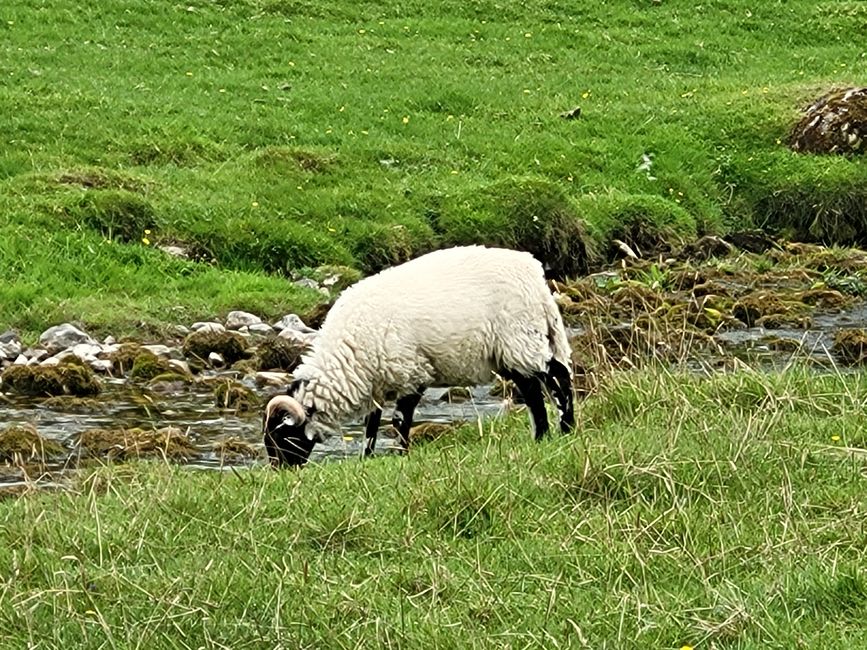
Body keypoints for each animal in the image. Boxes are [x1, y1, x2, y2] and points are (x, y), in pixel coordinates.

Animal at [264, 244, 576, 466]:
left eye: (281, 437)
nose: (281, 472)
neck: (349, 353)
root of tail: (537, 279)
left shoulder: (411, 372)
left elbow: (399, 420)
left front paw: (402, 454)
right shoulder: (379, 381)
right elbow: (371, 424)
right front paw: (367, 458)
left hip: (519, 338)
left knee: (556, 379)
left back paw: (563, 430)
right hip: (510, 351)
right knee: (535, 389)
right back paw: (545, 435)